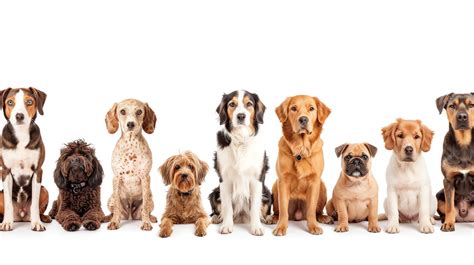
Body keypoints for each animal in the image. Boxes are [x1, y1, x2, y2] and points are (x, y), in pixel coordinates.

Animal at [0, 87, 50, 231]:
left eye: (29, 101)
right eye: (10, 102)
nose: (19, 116)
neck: (21, 135)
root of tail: (21, 215)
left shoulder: (38, 171)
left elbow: (34, 204)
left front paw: (37, 223)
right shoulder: (5, 171)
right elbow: (8, 204)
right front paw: (6, 223)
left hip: (44, 190)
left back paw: (44, 218)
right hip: (0, 195)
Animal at [105, 98, 157, 230]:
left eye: (139, 111)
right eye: (122, 111)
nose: (130, 124)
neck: (131, 145)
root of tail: (129, 216)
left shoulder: (145, 177)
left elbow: (145, 208)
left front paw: (146, 222)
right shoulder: (116, 177)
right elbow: (117, 209)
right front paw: (114, 222)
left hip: (151, 200)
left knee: (145, 211)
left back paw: (151, 218)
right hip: (110, 199)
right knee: (115, 211)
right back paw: (107, 218)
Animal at [209, 89, 272, 234]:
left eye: (249, 104)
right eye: (232, 104)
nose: (241, 116)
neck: (240, 140)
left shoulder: (256, 179)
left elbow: (255, 206)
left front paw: (256, 227)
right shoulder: (225, 179)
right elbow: (227, 206)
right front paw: (227, 225)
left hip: (267, 192)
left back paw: (269, 219)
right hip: (214, 193)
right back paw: (216, 218)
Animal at [272, 95, 332, 235]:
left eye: (311, 108)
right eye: (293, 108)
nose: (303, 119)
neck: (301, 148)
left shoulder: (315, 181)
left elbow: (311, 210)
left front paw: (313, 226)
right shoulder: (283, 181)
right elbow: (283, 210)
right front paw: (281, 227)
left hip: (322, 186)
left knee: (317, 211)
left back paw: (323, 218)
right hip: (275, 185)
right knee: (278, 211)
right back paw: (273, 218)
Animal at [436, 92, 474, 229]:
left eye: (471, 105)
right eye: (452, 106)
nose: (462, 117)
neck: (463, 143)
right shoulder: (448, 180)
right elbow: (449, 206)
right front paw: (448, 224)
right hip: (439, 195)